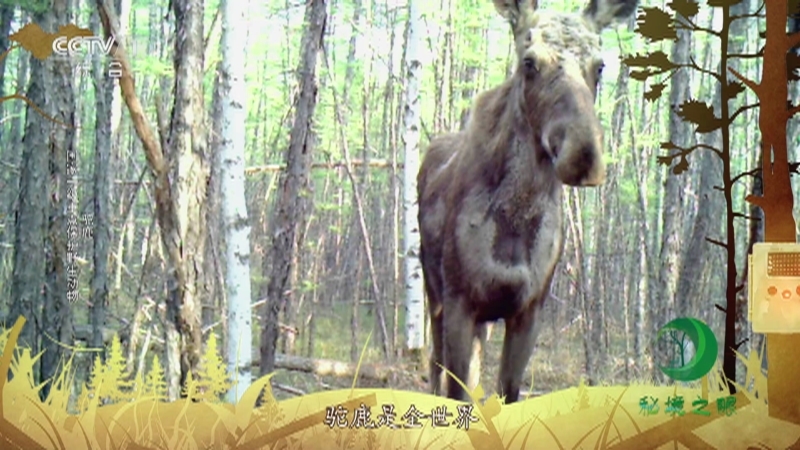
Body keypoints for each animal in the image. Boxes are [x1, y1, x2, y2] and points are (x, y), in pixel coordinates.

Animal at [417, 0, 639, 404]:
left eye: (600, 65)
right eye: (529, 61)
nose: (584, 156)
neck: (516, 220)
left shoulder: (529, 309)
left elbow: (507, 392)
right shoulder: (459, 300)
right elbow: (456, 391)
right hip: (432, 288)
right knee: (435, 364)